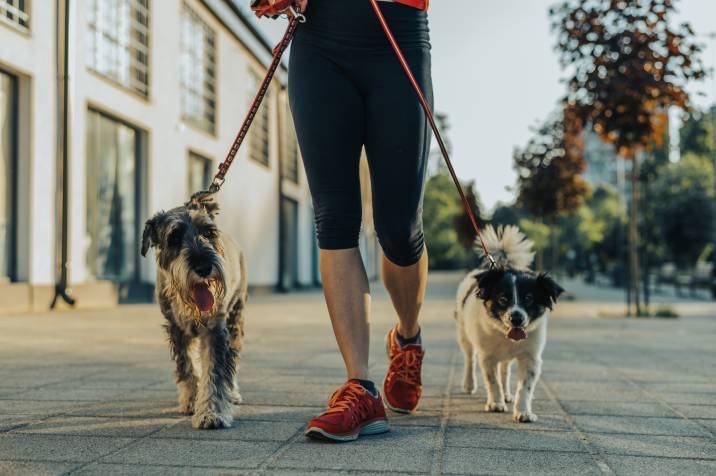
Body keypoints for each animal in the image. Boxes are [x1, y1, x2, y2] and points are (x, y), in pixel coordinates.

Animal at [141, 195, 248, 430]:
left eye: (208, 232)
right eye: (174, 237)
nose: (204, 267)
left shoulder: (215, 329)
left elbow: (214, 371)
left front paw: (211, 412)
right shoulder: (177, 328)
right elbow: (187, 365)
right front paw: (191, 400)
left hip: (235, 318)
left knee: (234, 357)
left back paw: (233, 392)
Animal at [456, 225, 564, 422]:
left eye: (529, 298)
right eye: (503, 299)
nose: (516, 318)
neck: (506, 335)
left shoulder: (531, 358)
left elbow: (524, 387)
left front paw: (523, 411)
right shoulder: (487, 356)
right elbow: (492, 381)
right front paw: (495, 403)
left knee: (505, 371)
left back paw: (507, 394)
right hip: (464, 335)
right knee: (470, 359)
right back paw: (469, 384)